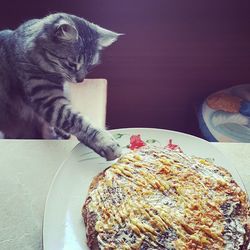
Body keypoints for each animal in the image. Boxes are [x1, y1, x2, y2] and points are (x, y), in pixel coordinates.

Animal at [0, 12, 121, 160]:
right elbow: (79, 121)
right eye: (72, 64)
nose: (80, 80)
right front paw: (106, 142)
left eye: (90, 65)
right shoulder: (49, 100)